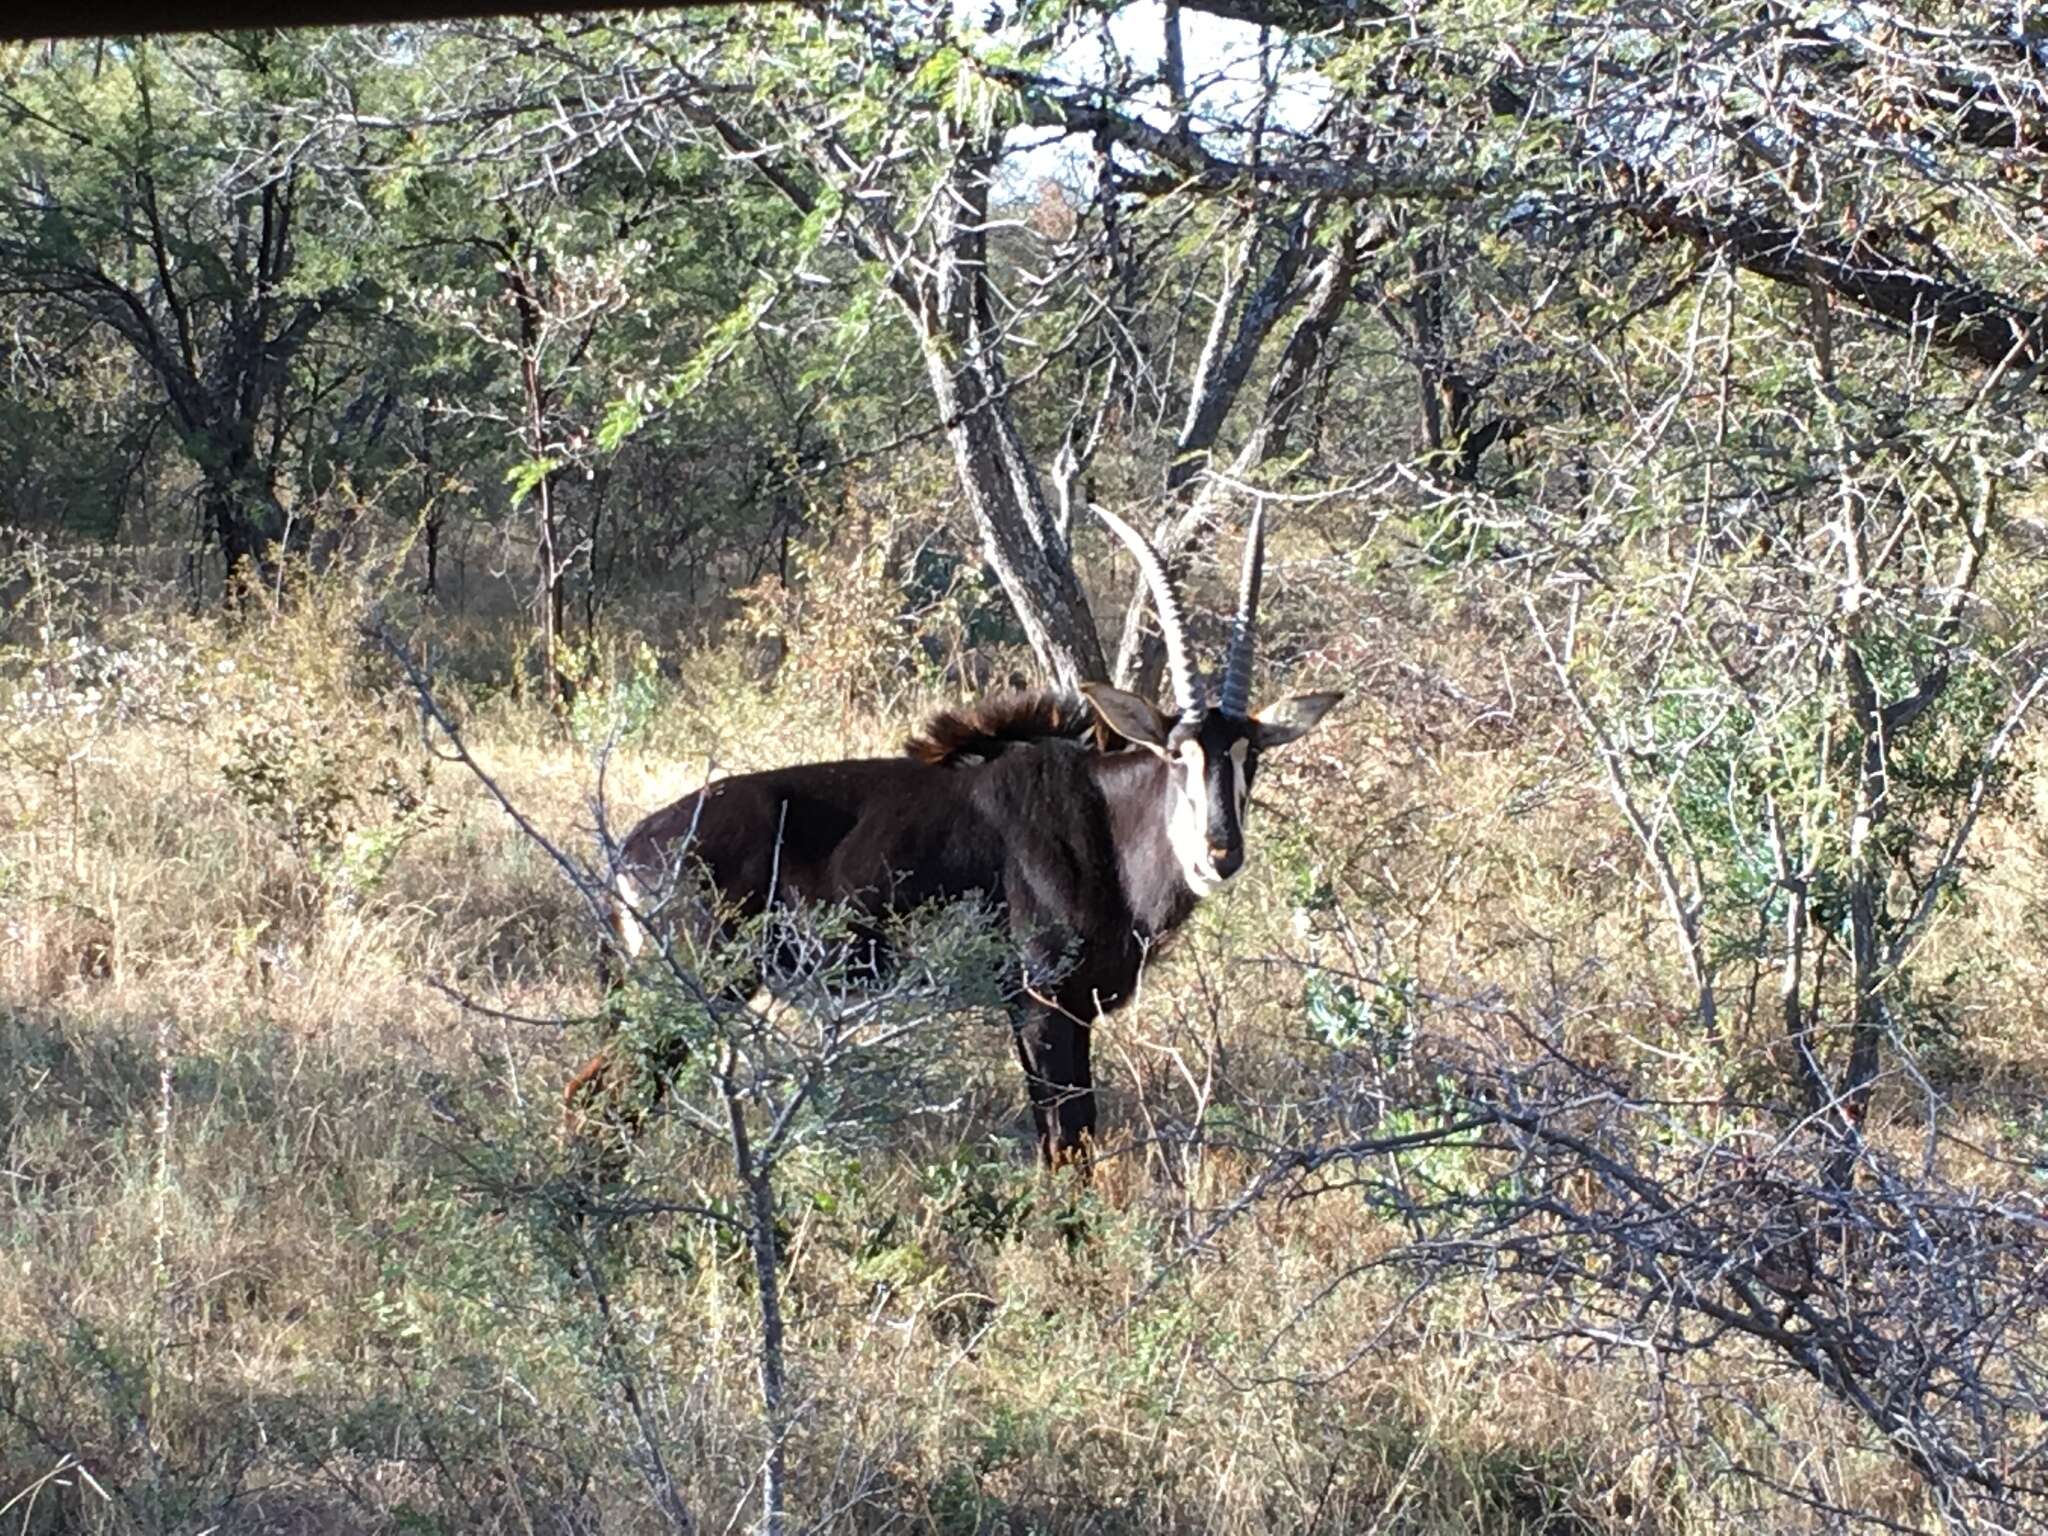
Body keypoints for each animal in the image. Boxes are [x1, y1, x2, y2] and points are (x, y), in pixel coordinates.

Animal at [577, 512, 1343, 1163]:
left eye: (1250, 755)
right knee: (606, 1099)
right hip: (691, 989)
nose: (1221, 852)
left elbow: (1074, 1133)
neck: (1105, 817)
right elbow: (1066, 1140)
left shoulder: (1068, 1009)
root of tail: (633, 849)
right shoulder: (1041, 1001)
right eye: (1177, 754)